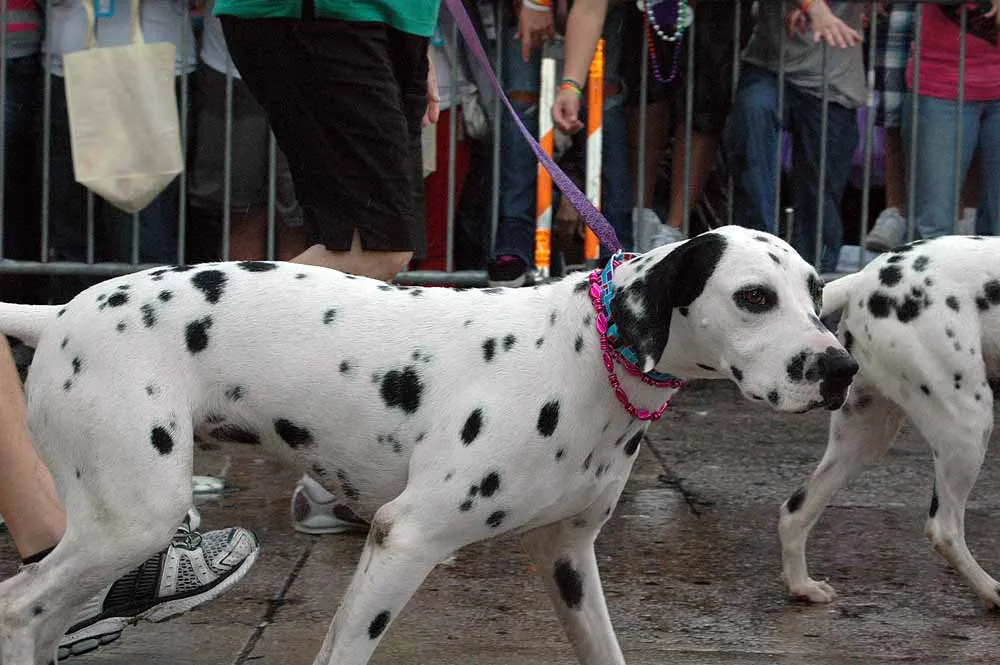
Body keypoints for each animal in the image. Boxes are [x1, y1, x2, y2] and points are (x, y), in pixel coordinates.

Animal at [0, 225, 856, 665]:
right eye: (753, 297)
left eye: (817, 292)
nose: (841, 368)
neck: (588, 354)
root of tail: (61, 310)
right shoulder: (404, 538)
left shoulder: (568, 560)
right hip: (134, 518)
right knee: (17, 608)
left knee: (40, 617)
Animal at [780, 235, 1000, 609]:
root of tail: (865, 277)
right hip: (968, 424)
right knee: (944, 529)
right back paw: (991, 590)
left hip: (865, 437)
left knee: (795, 511)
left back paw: (803, 586)